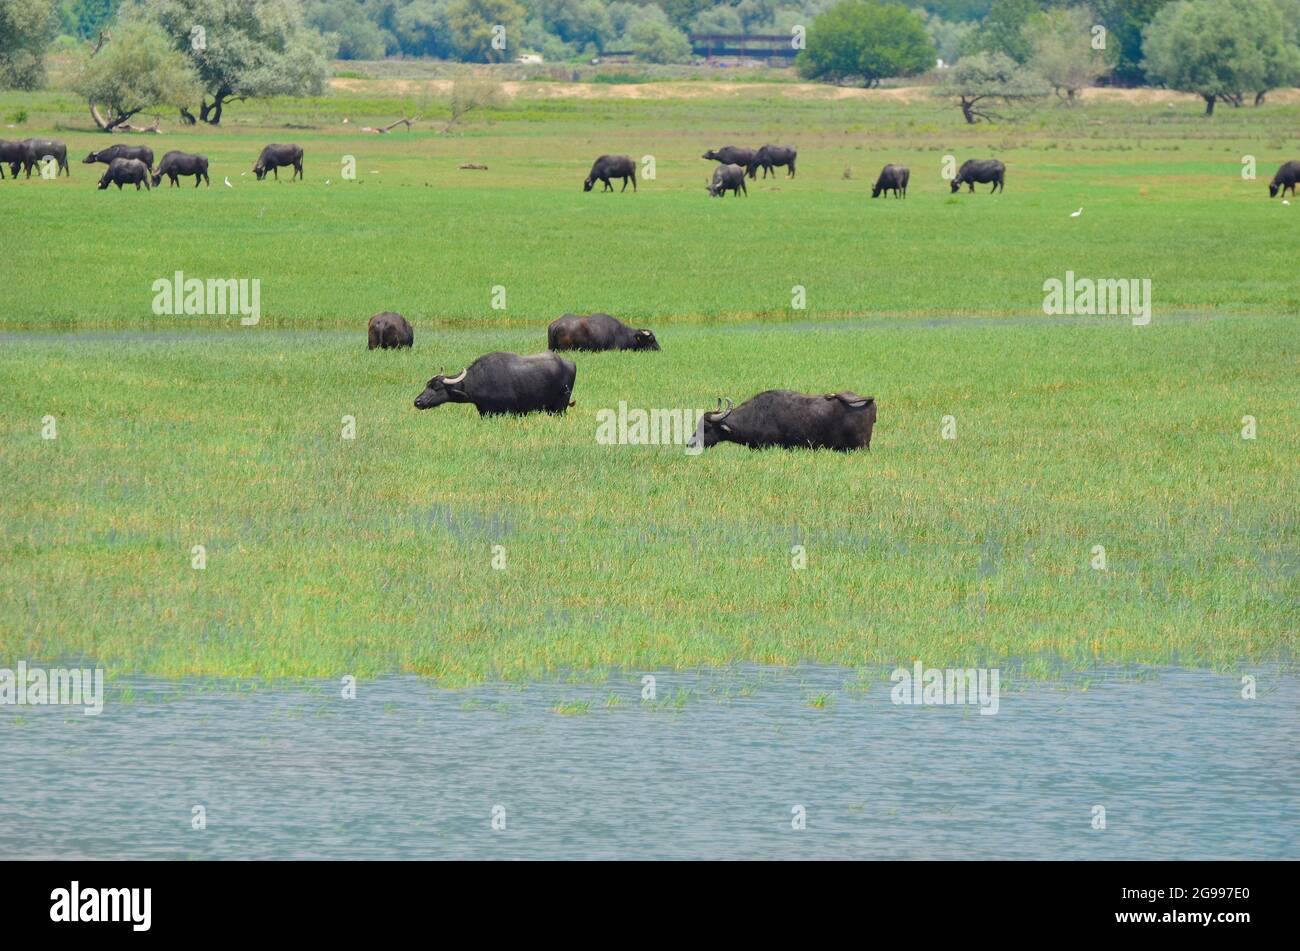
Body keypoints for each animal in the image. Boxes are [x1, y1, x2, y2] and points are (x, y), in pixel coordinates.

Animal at [413, 353, 577, 415]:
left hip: (560, 408)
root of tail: (570, 363)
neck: (480, 379)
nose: (417, 401)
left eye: (437, 387)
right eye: (427, 385)